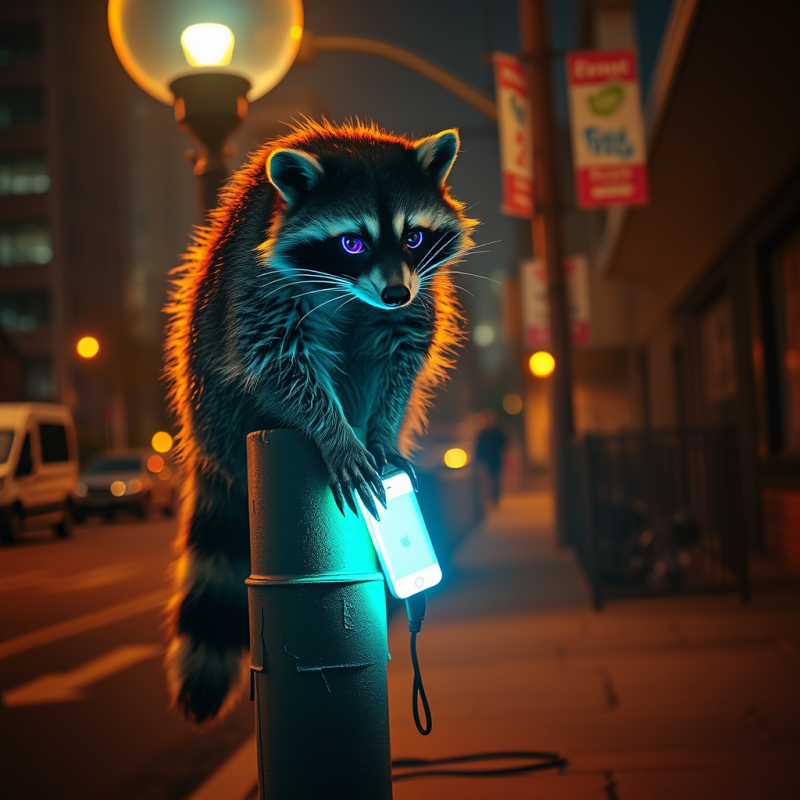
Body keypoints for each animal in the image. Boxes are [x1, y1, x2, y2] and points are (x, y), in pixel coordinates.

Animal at [164, 120, 477, 723]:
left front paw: (380, 429)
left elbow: (401, 358)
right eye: (352, 243)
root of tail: (207, 444)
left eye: (414, 237)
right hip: (212, 384)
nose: (395, 292)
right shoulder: (260, 287)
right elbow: (277, 362)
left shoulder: (416, 299)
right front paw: (334, 432)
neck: (354, 294)